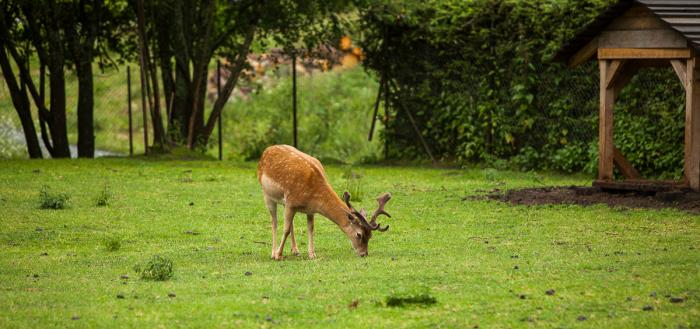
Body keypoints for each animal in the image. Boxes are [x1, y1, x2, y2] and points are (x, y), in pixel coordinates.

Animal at [258, 144, 392, 258]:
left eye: (370, 236)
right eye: (359, 234)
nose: (364, 253)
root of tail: (265, 151)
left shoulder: (308, 209)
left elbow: (310, 228)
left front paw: (312, 254)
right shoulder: (291, 202)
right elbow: (285, 230)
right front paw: (279, 255)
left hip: (284, 202)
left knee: (290, 223)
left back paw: (295, 250)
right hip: (267, 195)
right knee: (274, 222)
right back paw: (273, 253)